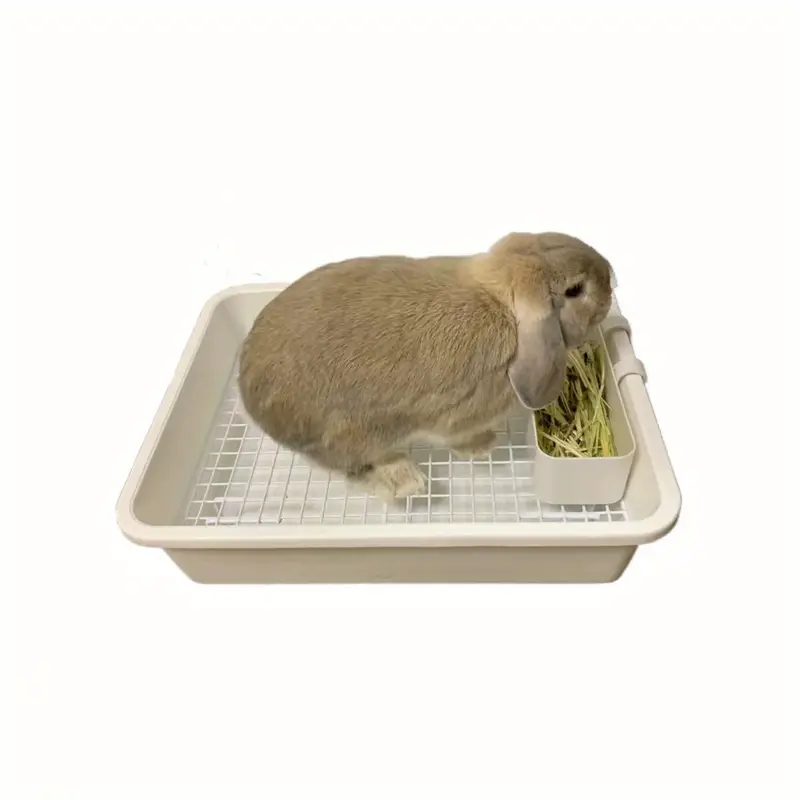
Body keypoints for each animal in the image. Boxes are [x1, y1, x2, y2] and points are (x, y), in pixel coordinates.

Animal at [237, 232, 614, 501]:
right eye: (575, 290)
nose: (612, 278)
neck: (499, 301)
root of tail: (251, 402)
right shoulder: (459, 417)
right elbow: (458, 437)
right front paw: (485, 446)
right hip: (355, 435)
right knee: (356, 468)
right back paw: (407, 482)